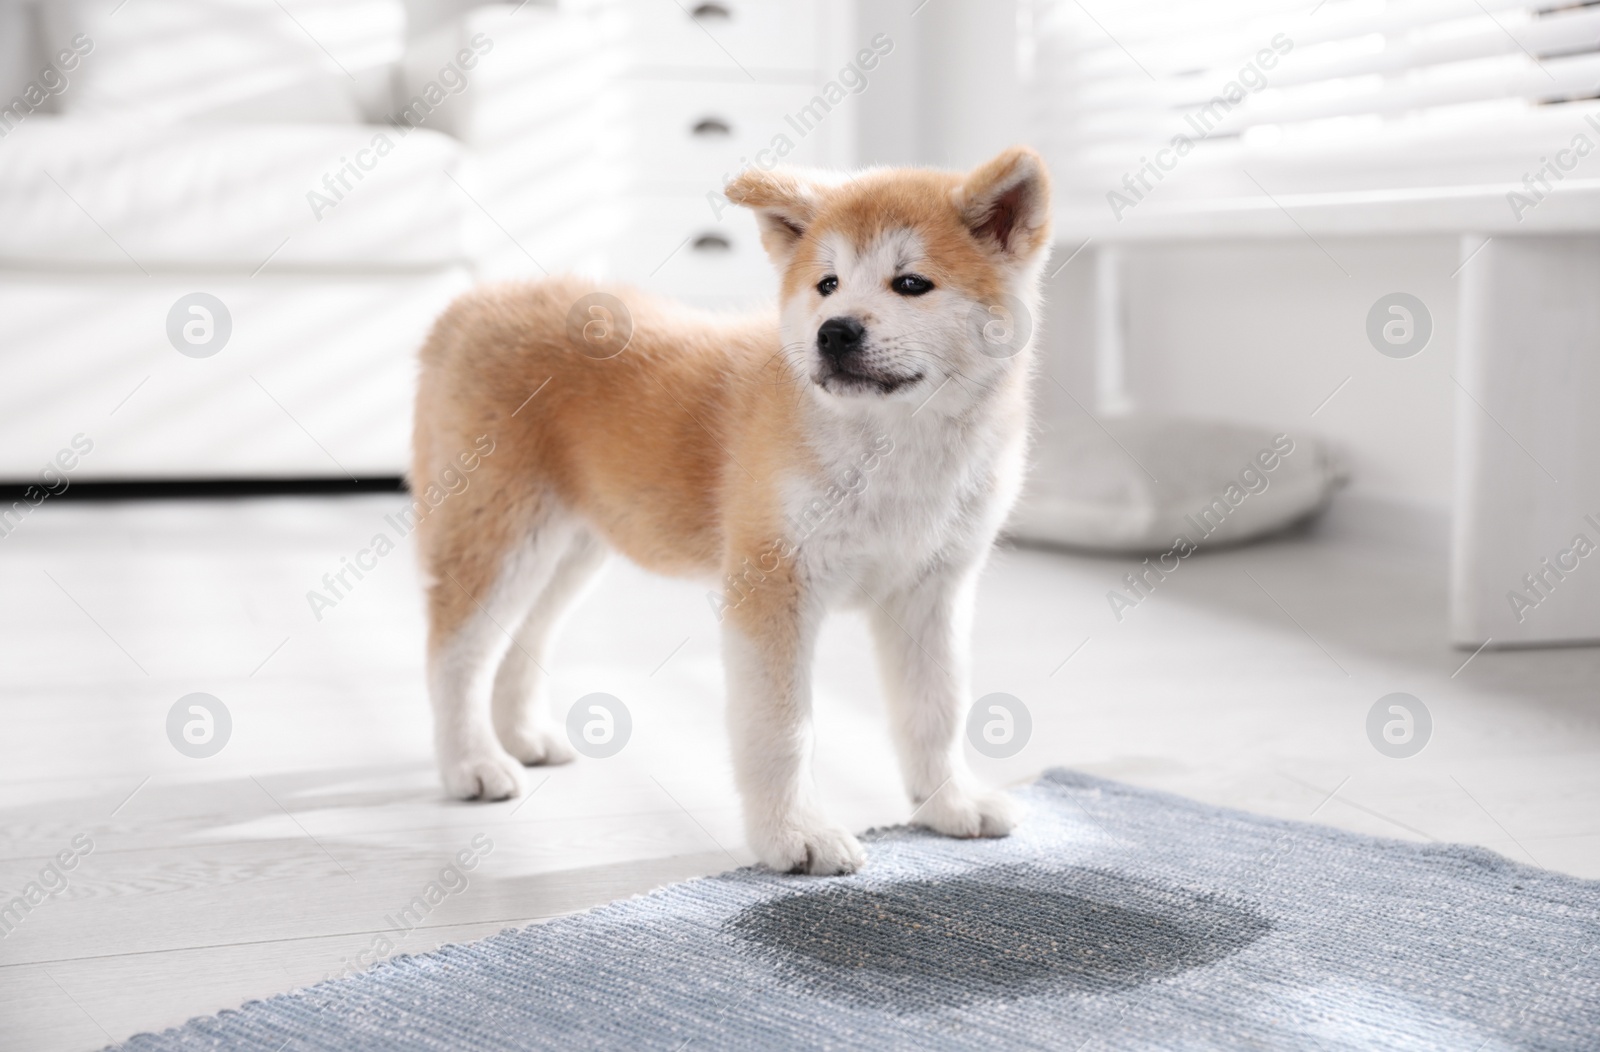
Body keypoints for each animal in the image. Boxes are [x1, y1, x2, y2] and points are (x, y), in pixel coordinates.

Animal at [412, 143, 1049, 869]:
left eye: (911, 284)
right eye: (827, 284)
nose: (835, 333)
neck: (895, 448)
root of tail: (470, 304)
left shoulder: (931, 591)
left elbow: (935, 711)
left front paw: (949, 805)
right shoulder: (773, 582)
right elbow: (781, 730)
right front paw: (793, 836)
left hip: (572, 549)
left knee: (525, 637)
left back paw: (520, 734)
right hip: (503, 535)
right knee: (456, 653)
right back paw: (470, 762)